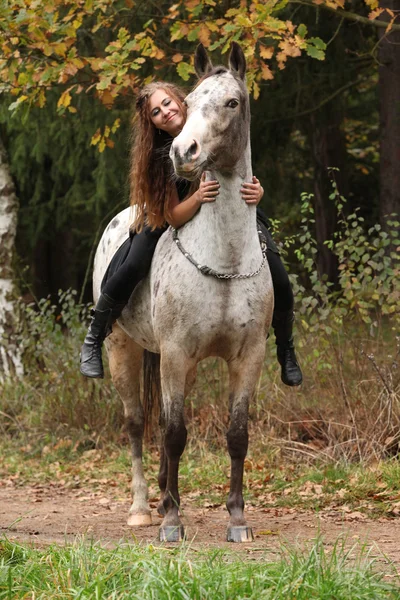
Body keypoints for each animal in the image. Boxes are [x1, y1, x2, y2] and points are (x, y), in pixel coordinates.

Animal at [92, 39, 274, 540]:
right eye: (188, 102)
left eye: (232, 102)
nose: (182, 151)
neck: (224, 261)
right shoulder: (174, 353)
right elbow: (174, 433)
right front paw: (172, 522)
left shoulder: (247, 357)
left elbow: (236, 435)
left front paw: (237, 519)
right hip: (124, 349)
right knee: (137, 422)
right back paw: (142, 508)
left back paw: (160, 497)